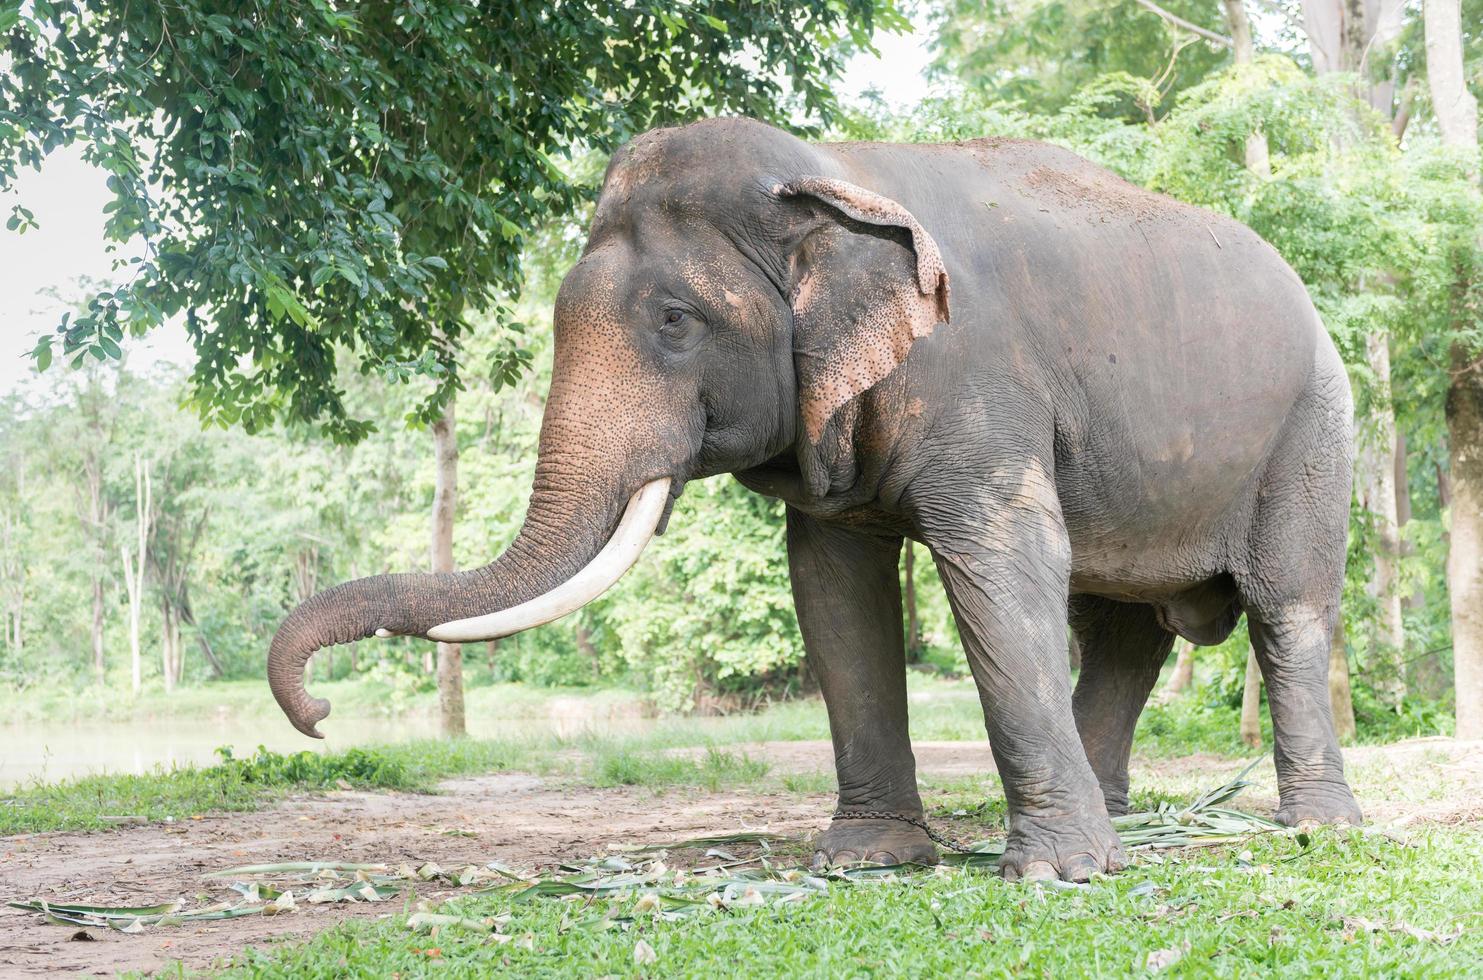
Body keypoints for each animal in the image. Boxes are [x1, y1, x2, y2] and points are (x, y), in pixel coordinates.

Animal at [269, 114, 1364, 877]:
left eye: (674, 320)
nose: (319, 713)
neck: (827, 176)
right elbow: (831, 588)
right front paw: (868, 859)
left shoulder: (980, 382)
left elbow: (1002, 563)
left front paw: (1054, 876)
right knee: (1124, 628)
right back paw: (1121, 816)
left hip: (1312, 429)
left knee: (1285, 607)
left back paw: (1315, 827)